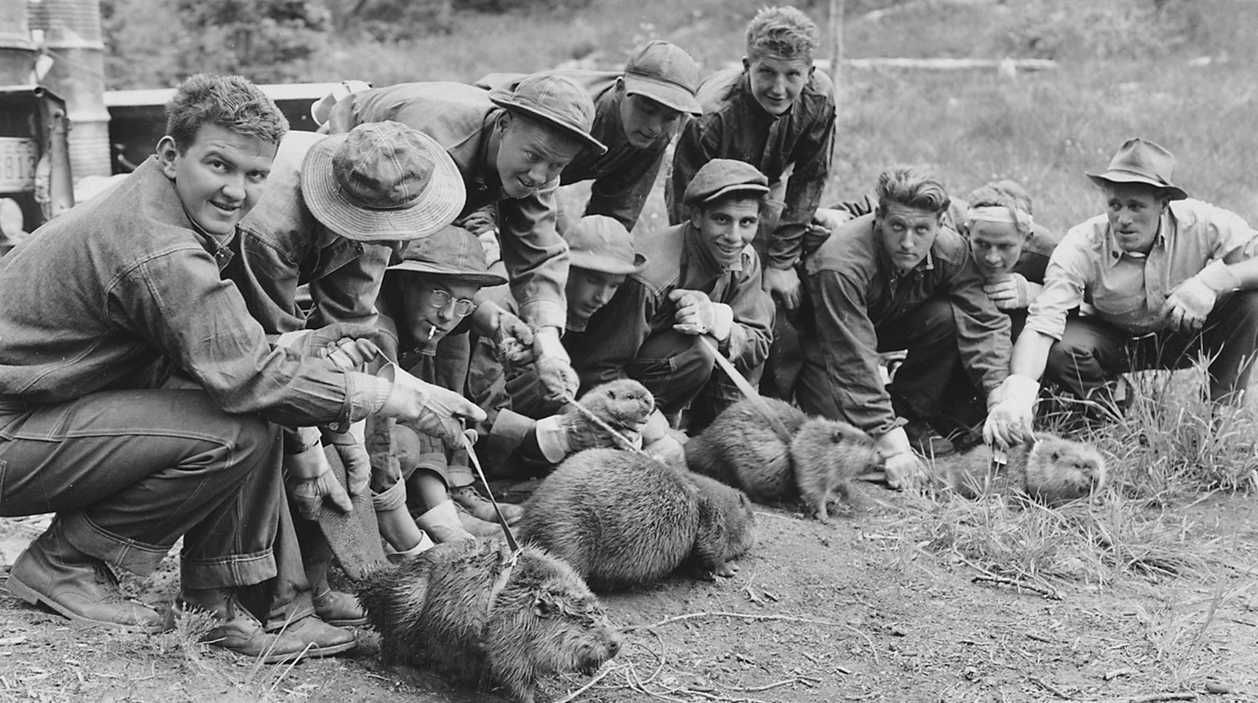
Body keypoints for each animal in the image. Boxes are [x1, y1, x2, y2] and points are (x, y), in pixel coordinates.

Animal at [357, 538, 621, 703]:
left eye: (603, 614)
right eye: (586, 623)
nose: (616, 643)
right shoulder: (508, 632)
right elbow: (513, 671)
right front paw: (533, 696)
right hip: (408, 605)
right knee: (391, 651)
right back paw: (425, 677)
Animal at [518, 447, 754, 591]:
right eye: (745, 505)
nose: (756, 526)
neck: (695, 490)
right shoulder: (709, 516)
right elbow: (709, 547)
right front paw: (728, 568)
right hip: (571, 531)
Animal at [684, 397, 880, 523]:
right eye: (862, 443)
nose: (879, 451)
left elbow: (839, 483)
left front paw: (847, 496)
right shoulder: (812, 457)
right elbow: (812, 486)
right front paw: (824, 516)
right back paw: (782, 503)